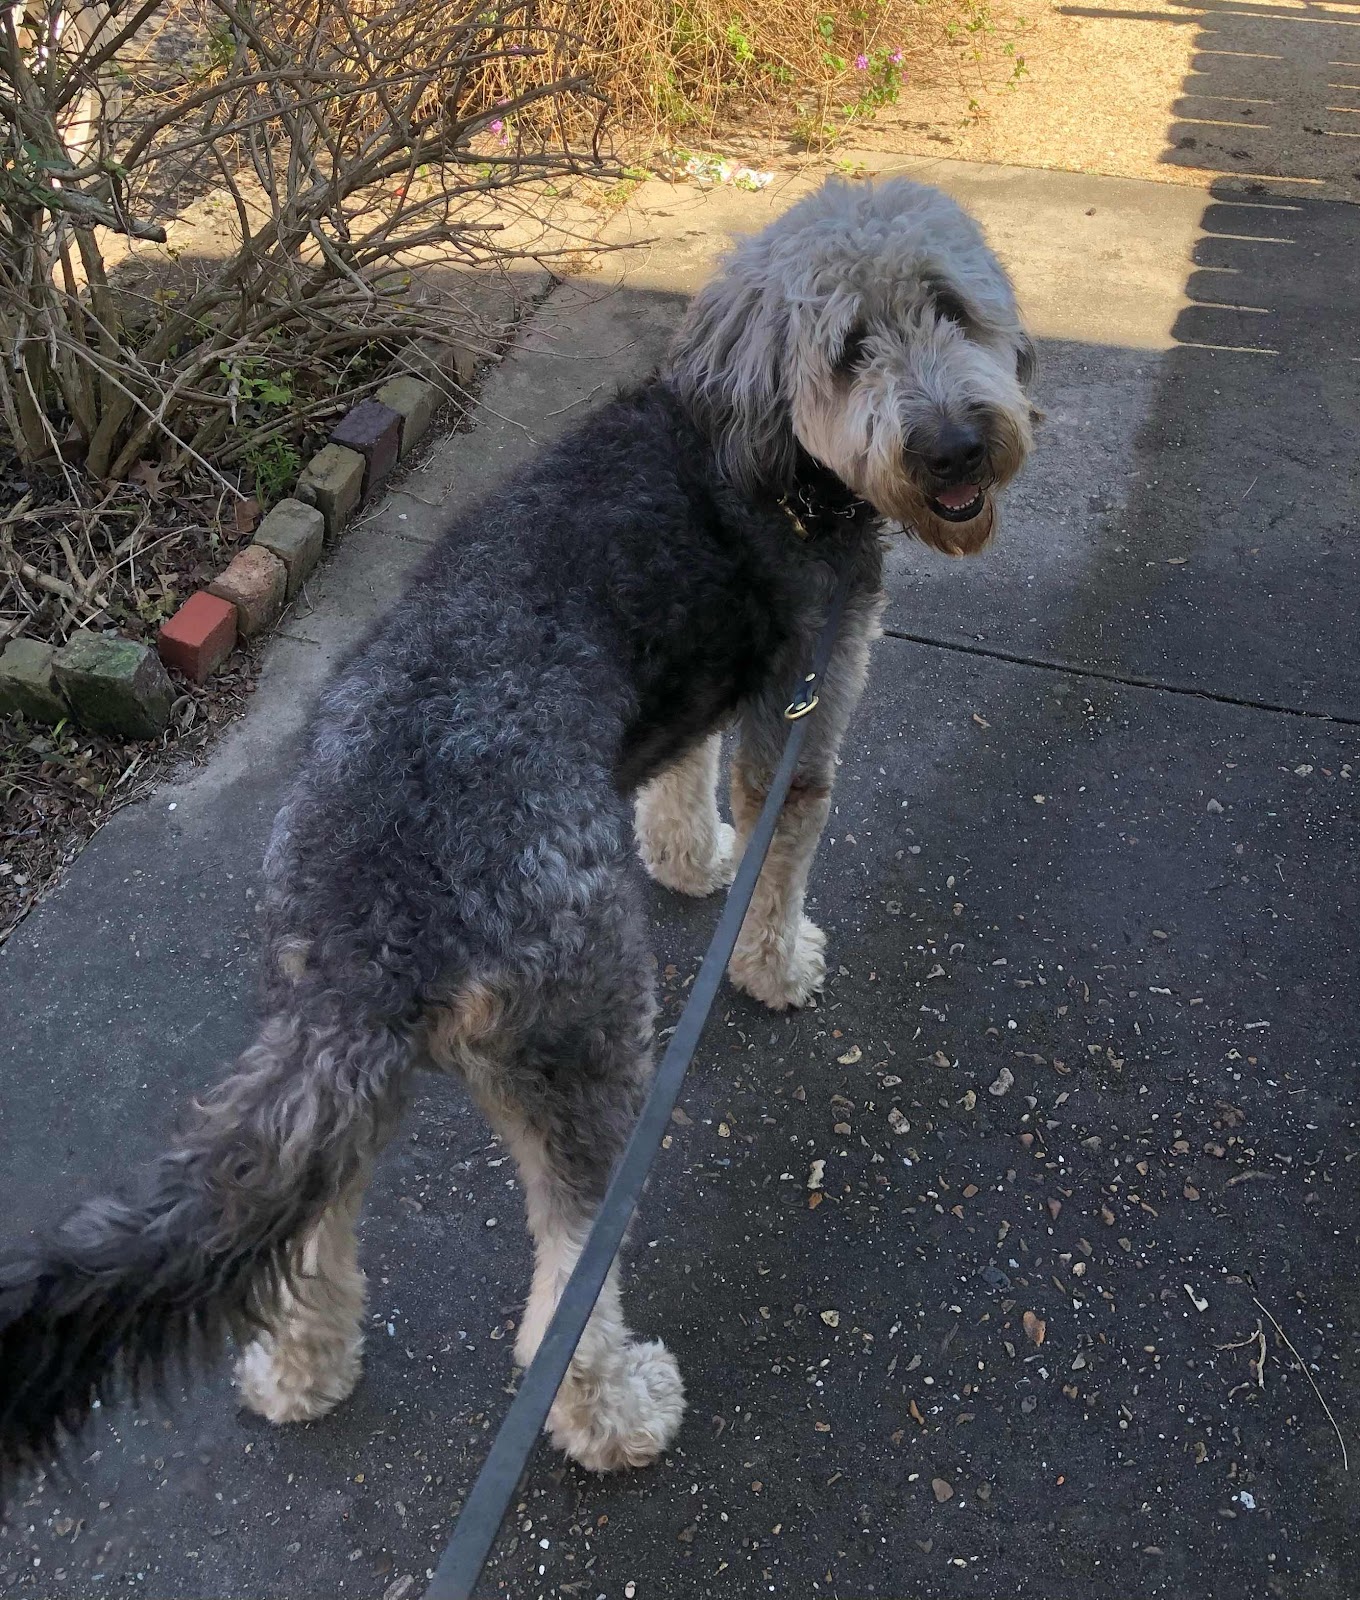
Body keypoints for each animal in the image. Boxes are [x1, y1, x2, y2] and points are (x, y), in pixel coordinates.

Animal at [0, 177, 1036, 1486]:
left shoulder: (692, 680)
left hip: (344, 1063)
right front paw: (776, 959)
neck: (763, 445)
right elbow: (783, 843)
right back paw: (618, 1412)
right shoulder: (806, 696)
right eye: (851, 346)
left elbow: (677, 777)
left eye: (949, 306)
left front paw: (685, 858)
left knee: (312, 1243)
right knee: (561, 1301)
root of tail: (383, 909)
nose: (953, 444)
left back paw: (301, 1374)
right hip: (586, 1041)